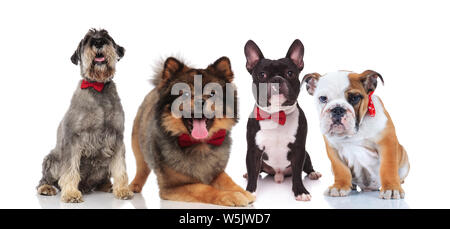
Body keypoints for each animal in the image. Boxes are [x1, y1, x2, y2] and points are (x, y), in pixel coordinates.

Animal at [37, 28, 133, 202]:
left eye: (107, 36)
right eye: (87, 40)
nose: (98, 42)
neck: (98, 87)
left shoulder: (116, 137)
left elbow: (120, 167)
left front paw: (122, 189)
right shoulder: (73, 139)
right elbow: (70, 170)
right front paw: (70, 193)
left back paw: (107, 185)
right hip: (51, 159)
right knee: (46, 179)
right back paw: (46, 187)